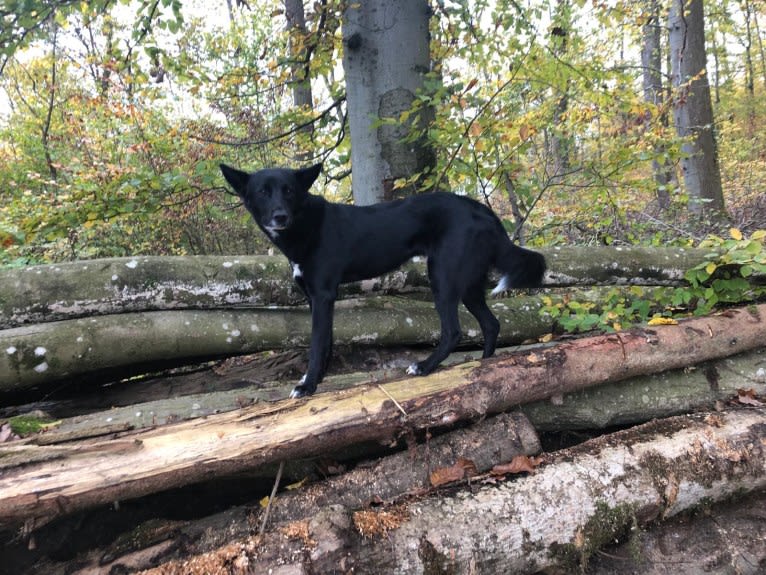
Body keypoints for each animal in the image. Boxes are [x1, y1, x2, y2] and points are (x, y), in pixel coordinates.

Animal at [220, 162, 544, 396]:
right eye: (263, 192)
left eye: (289, 191)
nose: (280, 217)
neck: (305, 225)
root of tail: (483, 211)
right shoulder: (316, 298)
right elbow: (327, 341)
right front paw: (317, 379)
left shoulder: (323, 294)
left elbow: (317, 343)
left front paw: (308, 385)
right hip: (468, 283)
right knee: (492, 324)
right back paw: (483, 367)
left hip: (443, 276)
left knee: (454, 331)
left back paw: (424, 367)